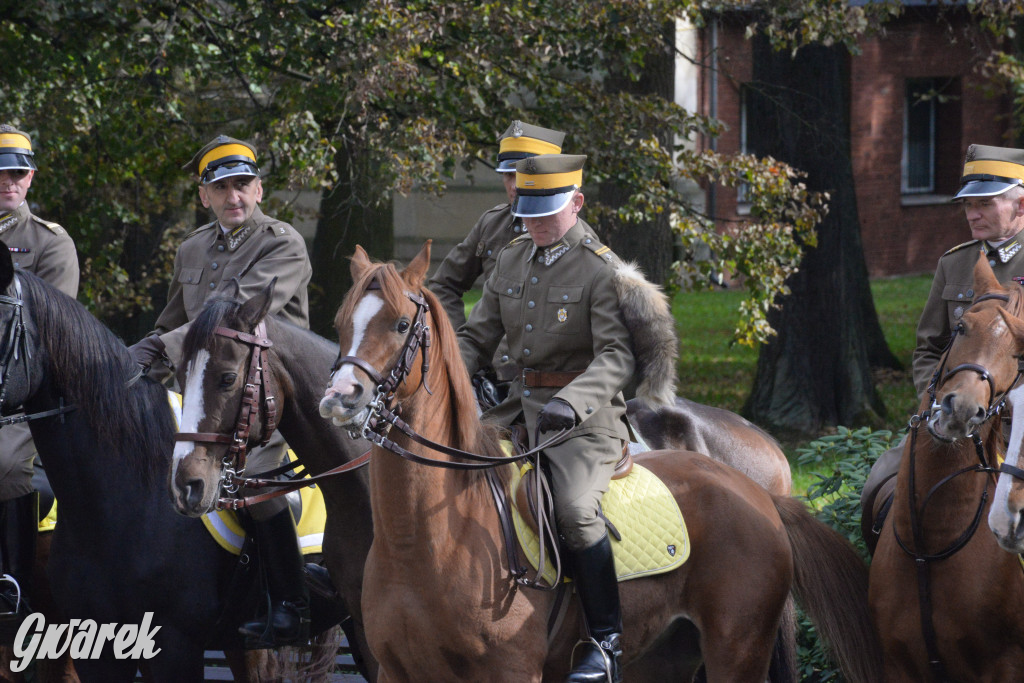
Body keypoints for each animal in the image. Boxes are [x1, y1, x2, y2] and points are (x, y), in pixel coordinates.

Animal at [317, 244, 880, 683]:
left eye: (401, 324)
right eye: (341, 324)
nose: (341, 398)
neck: (425, 541)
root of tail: (759, 494)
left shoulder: (510, 672)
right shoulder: (394, 671)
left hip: (737, 652)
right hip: (666, 658)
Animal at [868, 253, 1024, 679]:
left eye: (1020, 355)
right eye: (961, 326)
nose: (963, 409)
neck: (932, 542)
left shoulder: (1005, 666)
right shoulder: (896, 664)